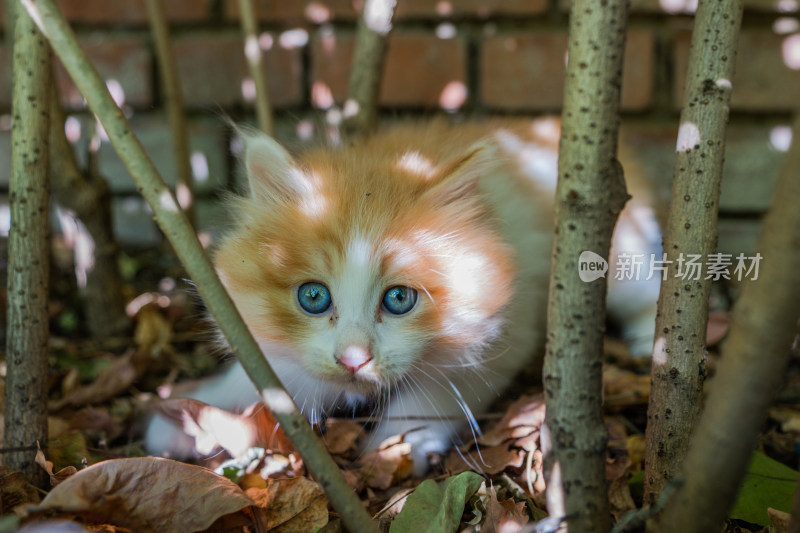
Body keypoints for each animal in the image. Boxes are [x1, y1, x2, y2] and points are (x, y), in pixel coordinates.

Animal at [145, 117, 664, 470]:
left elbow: (424, 401)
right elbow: (257, 376)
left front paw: (389, 453)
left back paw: (649, 347)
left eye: (399, 300)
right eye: (313, 297)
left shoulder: (505, 338)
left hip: (615, 263)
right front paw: (185, 419)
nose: (353, 360)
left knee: (649, 292)